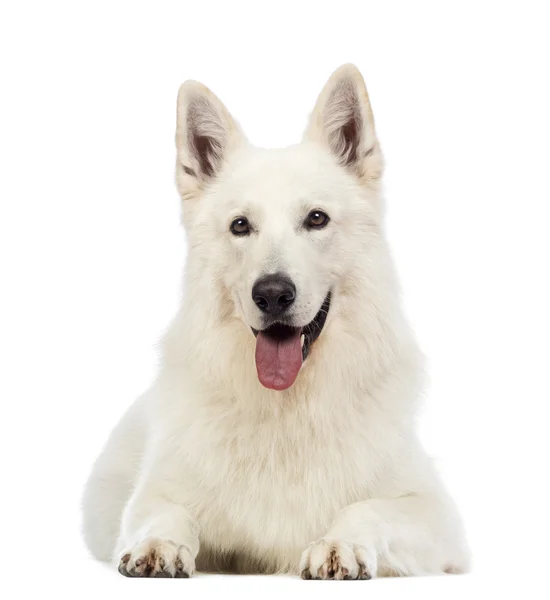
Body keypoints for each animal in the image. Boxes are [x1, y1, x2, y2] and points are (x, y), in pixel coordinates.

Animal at [82, 63, 470, 580]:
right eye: (240, 226)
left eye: (317, 219)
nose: (271, 294)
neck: (286, 409)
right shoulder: (156, 493)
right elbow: (165, 512)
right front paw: (158, 544)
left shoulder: (437, 518)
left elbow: (366, 509)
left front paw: (339, 544)